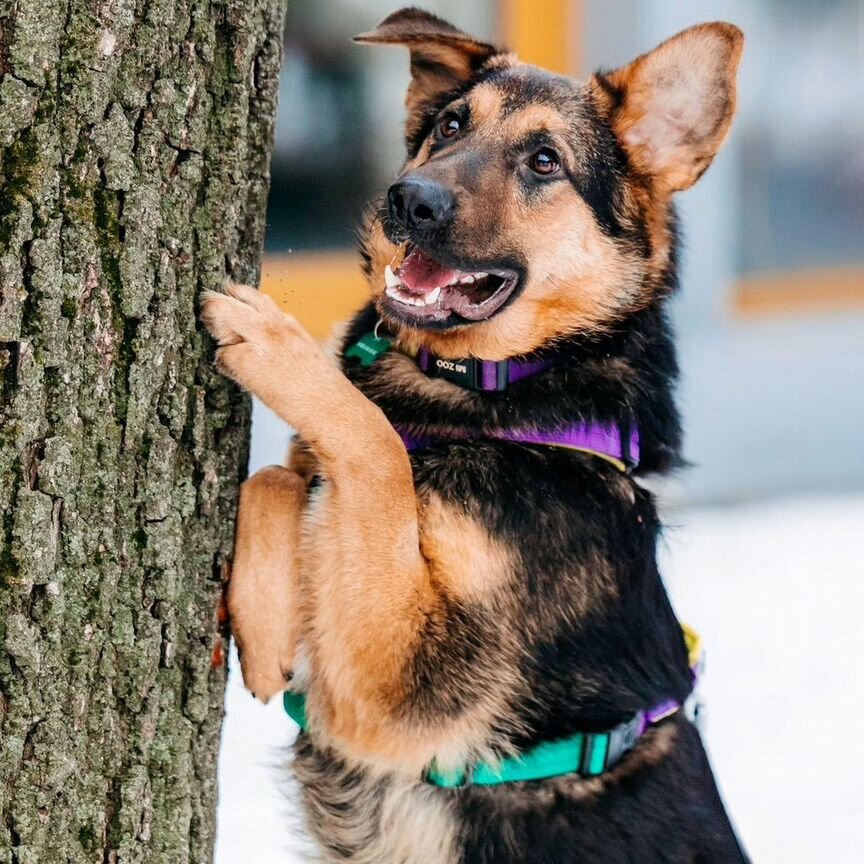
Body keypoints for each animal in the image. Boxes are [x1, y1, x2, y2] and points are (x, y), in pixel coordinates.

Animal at [204, 8, 748, 864]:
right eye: (452, 125)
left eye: (545, 161)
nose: (408, 199)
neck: (505, 395)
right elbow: (288, 473)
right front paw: (263, 625)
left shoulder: (404, 691)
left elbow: (372, 449)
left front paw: (279, 343)